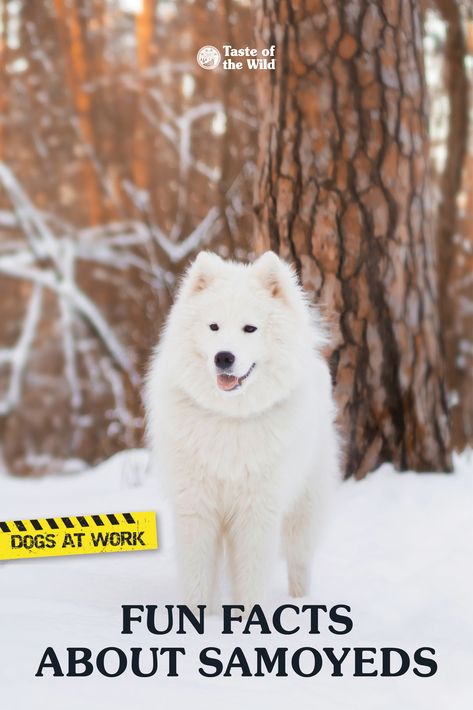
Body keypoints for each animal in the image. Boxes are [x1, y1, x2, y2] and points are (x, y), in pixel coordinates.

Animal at [146, 252, 342, 612]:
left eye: (249, 328)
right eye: (214, 326)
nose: (224, 357)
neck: (230, 418)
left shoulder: (256, 514)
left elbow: (251, 580)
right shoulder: (197, 510)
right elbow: (198, 580)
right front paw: (201, 618)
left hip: (303, 510)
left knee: (299, 562)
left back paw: (301, 601)